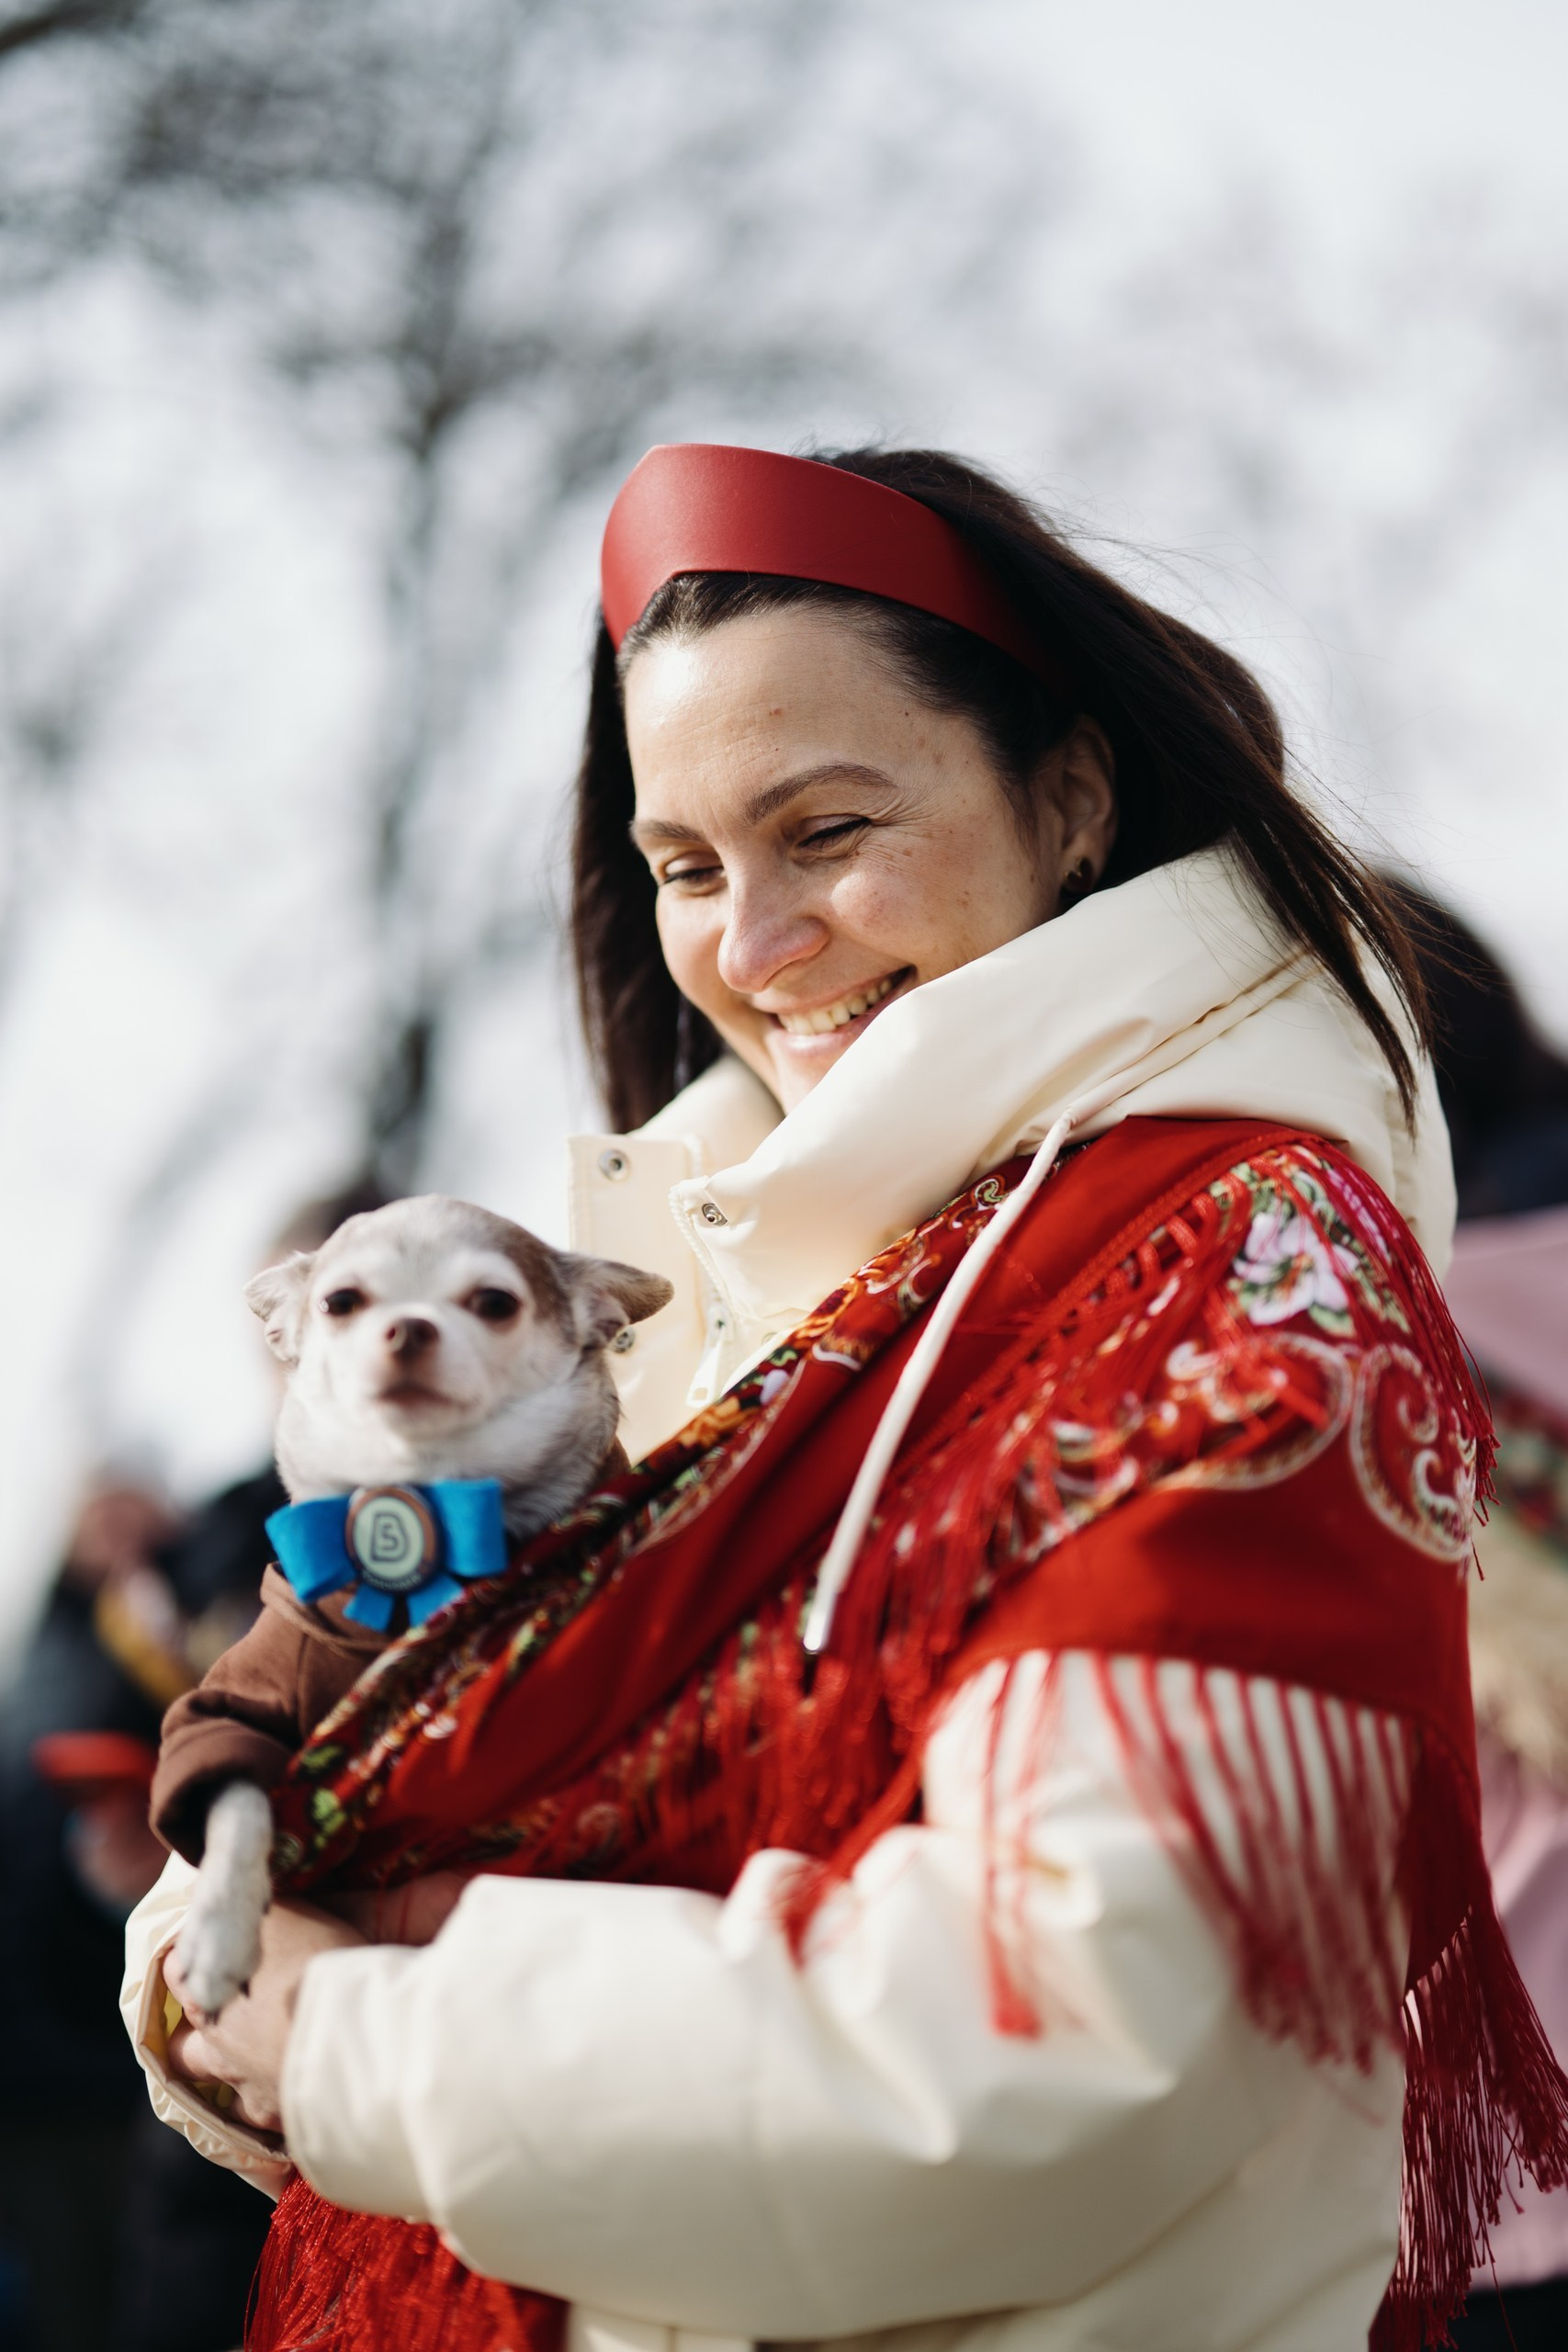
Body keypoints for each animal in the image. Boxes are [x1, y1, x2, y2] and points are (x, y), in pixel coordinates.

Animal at [155, 1195, 672, 2022]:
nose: (408, 1327)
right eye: (340, 1302)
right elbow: (235, 1799)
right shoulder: (224, 1713)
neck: (428, 1495)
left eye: (494, 1303)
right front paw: (217, 1935)